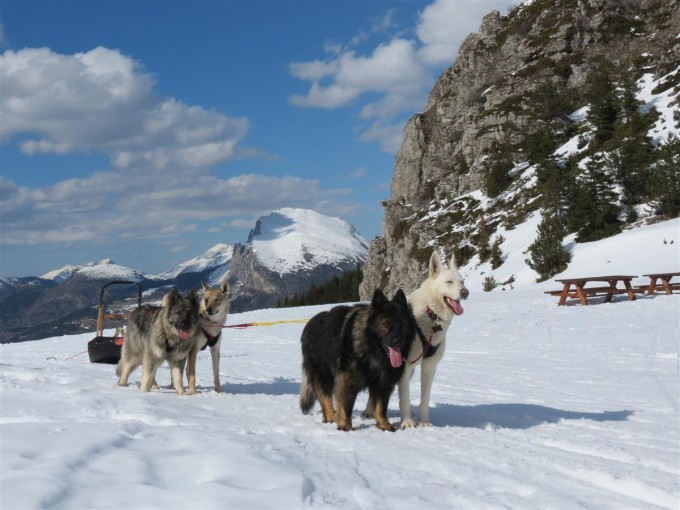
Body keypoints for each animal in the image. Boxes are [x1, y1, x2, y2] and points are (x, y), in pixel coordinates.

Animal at [300, 288, 418, 432]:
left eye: (402, 324)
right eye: (385, 324)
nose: (397, 341)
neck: (372, 351)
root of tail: (310, 323)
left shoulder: (384, 382)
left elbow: (381, 407)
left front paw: (384, 424)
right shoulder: (347, 379)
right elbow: (346, 405)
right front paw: (345, 426)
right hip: (322, 374)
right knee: (325, 398)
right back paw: (331, 417)